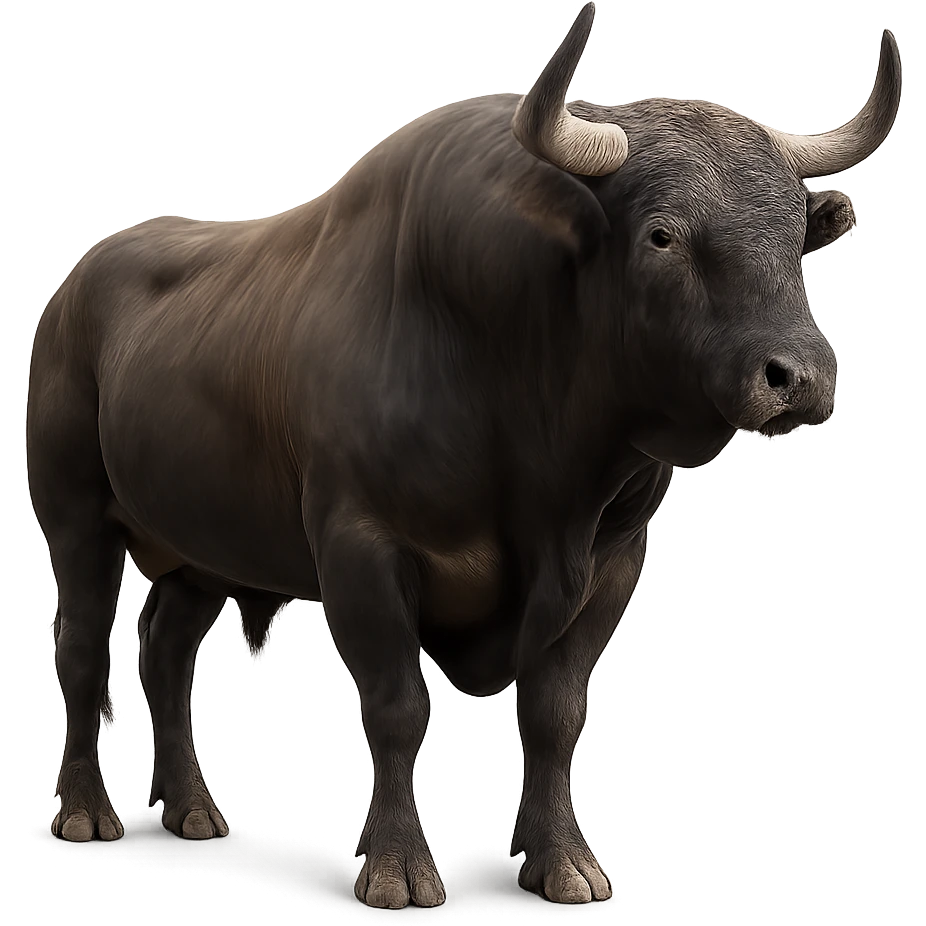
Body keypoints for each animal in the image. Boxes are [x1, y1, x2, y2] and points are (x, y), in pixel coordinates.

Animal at [26, 1, 901, 909]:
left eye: (797, 238)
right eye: (662, 235)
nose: (799, 377)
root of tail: (75, 285)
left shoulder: (611, 566)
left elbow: (555, 715)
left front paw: (562, 861)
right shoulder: (361, 551)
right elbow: (396, 708)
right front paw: (396, 864)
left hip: (201, 548)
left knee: (166, 652)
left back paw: (192, 806)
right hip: (75, 521)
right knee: (82, 650)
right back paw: (85, 810)